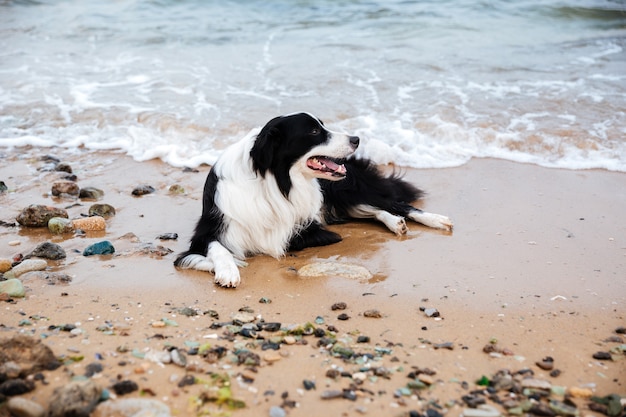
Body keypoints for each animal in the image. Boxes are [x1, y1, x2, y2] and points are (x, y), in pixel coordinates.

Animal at [173, 112, 450, 284]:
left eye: (322, 125)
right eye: (315, 131)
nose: (356, 139)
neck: (273, 181)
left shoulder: (302, 230)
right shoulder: (208, 231)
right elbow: (214, 251)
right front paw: (228, 270)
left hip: (345, 189)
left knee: (394, 203)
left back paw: (435, 219)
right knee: (372, 210)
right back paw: (396, 223)